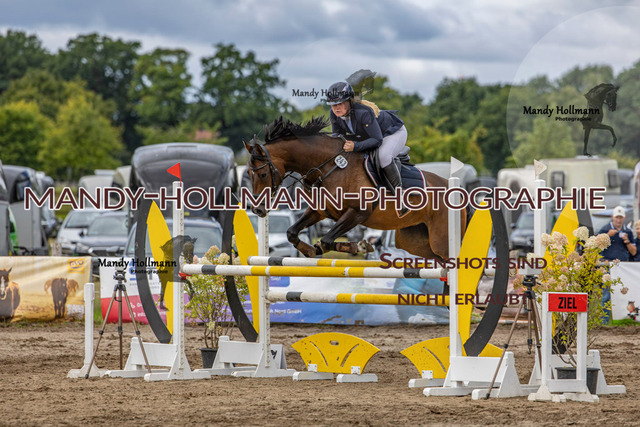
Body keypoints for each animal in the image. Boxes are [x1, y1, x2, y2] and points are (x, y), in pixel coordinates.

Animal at [243, 116, 466, 260]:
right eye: (249, 175)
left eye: (262, 174)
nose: (258, 210)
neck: (328, 167)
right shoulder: (319, 211)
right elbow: (292, 233)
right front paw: (310, 250)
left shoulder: (358, 213)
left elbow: (327, 240)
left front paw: (360, 245)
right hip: (416, 241)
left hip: (442, 241)